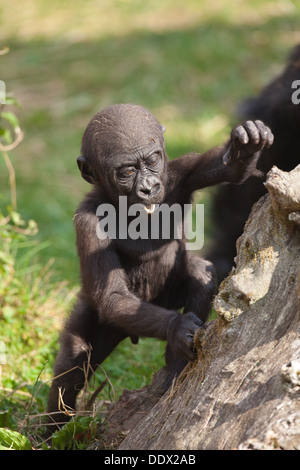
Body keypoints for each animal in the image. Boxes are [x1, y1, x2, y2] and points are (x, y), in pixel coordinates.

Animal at [46, 104, 272, 432]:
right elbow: (112, 295)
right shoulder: (87, 221)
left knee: (200, 274)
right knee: (72, 362)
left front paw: (245, 148)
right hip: (110, 317)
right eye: (127, 171)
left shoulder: (180, 173)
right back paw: (48, 432)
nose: (148, 187)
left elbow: (230, 170)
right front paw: (177, 327)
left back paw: (175, 366)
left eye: (152, 161)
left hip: (164, 300)